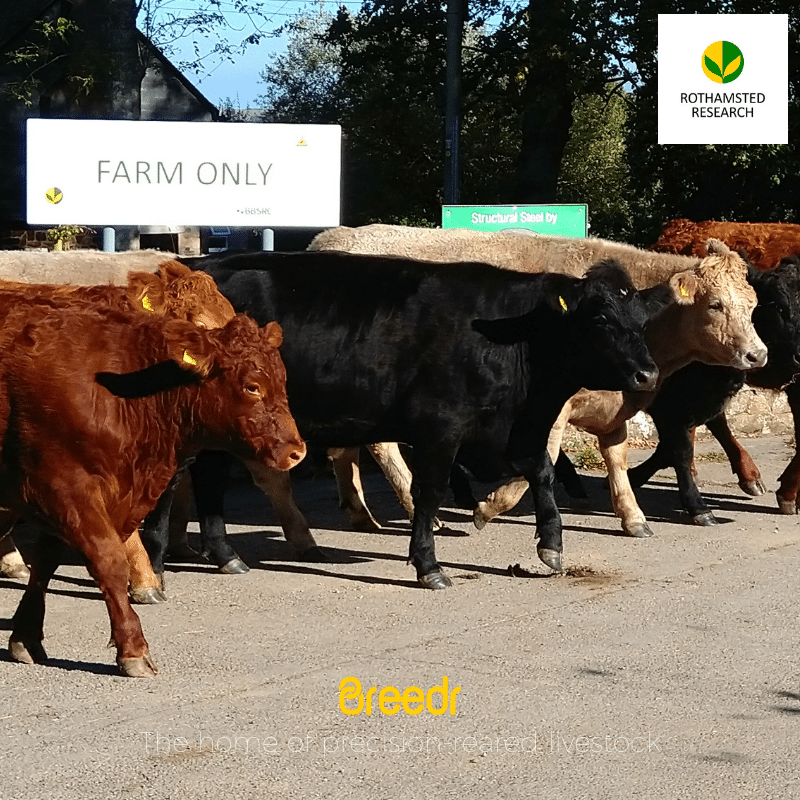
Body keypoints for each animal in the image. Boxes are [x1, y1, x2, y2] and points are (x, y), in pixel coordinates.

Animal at [2, 303, 305, 677]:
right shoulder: (67, 489)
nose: (297, 451)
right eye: (252, 387)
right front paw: (133, 649)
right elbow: (109, 562)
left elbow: (46, 562)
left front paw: (26, 635)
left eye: (282, 380)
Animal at [142, 250, 665, 588]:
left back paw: (225, 555)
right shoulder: (441, 427)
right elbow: (429, 492)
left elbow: (541, 472)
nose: (648, 373)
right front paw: (429, 565)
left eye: (642, 322)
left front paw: (551, 545)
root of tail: (196, 267)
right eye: (600, 320)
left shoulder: (506, 430)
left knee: (210, 477)